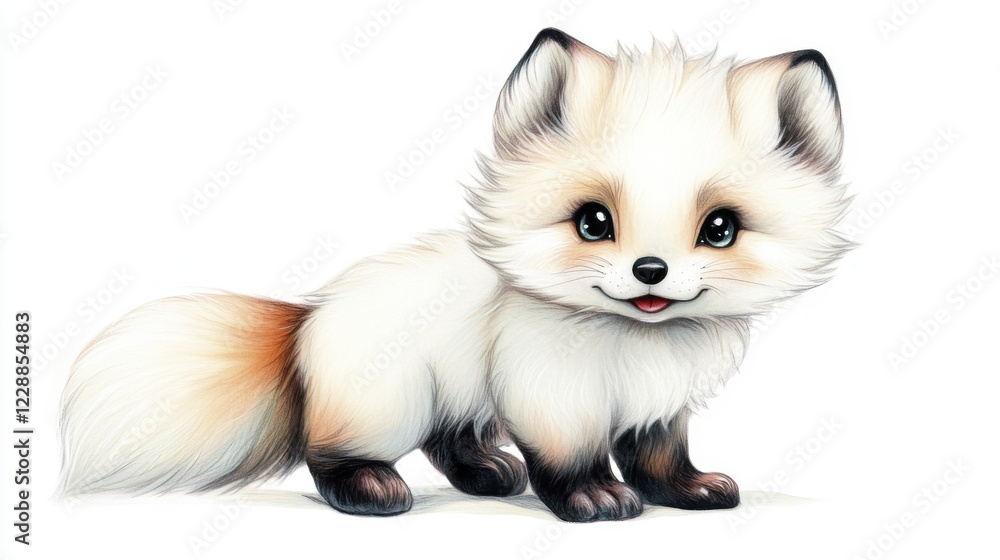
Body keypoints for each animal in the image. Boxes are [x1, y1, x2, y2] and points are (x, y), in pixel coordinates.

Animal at [59, 28, 851, 522]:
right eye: (593, 222)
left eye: (719, 229)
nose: (649, 270)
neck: (633, 349)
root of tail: (308, 320)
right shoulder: (549, 396)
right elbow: (570, 460)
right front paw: (594, 502)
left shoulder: (659, 403)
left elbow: (659, 458)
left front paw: (690, 491)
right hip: (391, 403)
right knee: (329, 452)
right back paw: (373, 489)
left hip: (454, 395)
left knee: (450, 441)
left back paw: (488, 475)